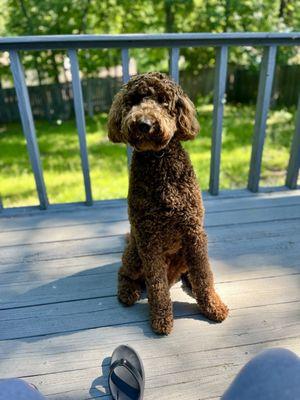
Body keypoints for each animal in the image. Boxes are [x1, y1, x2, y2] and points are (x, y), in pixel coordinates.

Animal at [109, 71, 229, 334]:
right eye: (134, 101)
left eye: (164, 101)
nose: (144, 123)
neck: (159, 160)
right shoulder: (148, 239)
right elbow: (156, 285)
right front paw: (161, 318)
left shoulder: (194, 233)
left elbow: (204, 275)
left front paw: (212, 306)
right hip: (135, 252)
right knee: (124, 272)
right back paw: (127, 291)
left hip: (185, 251)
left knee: (192, 272)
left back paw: (190, 283)